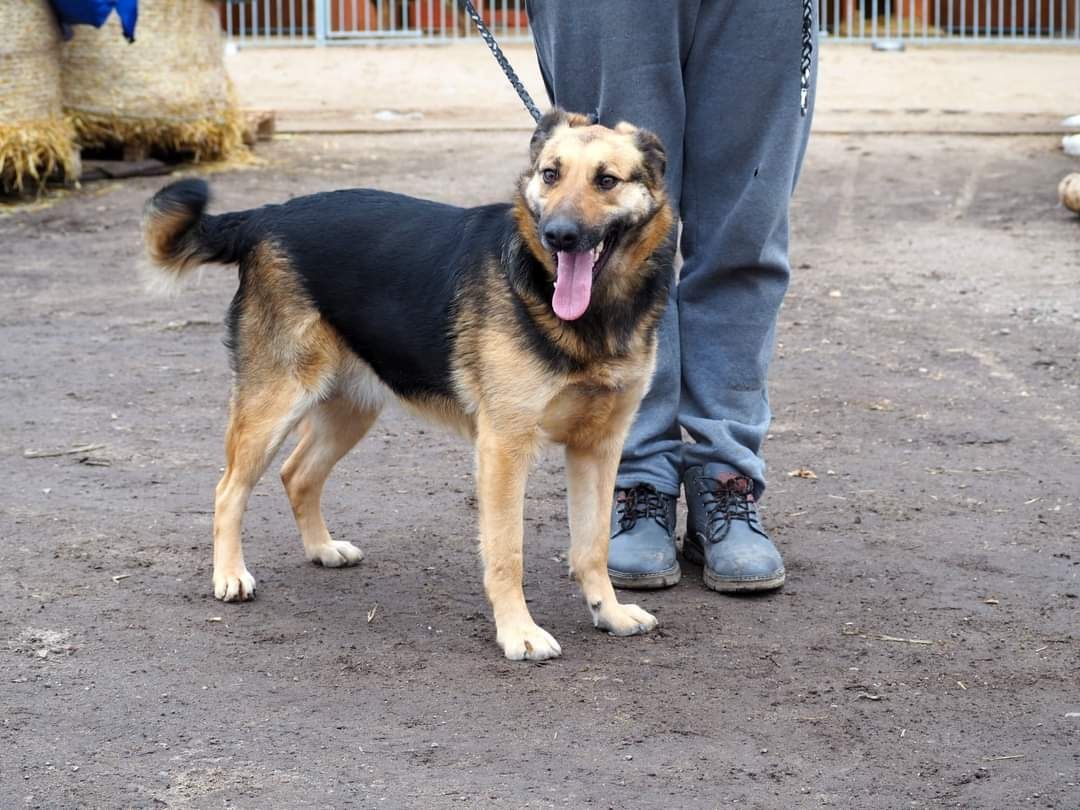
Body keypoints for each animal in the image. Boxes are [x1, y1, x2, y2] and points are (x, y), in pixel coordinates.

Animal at [139, 108, 669, 660]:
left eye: (606, 180)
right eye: (551, 174)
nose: (558, 235)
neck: (593, 313)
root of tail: (266, 217)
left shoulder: (599, 448)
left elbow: (593, 545)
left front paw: (608, 612)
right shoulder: (504, 448)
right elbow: (508, 552)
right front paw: (519, 632)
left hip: (350, 410)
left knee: (297, 474)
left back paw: (322, 549)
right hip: (274, 404)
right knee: (228, 489)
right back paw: (229, 575)